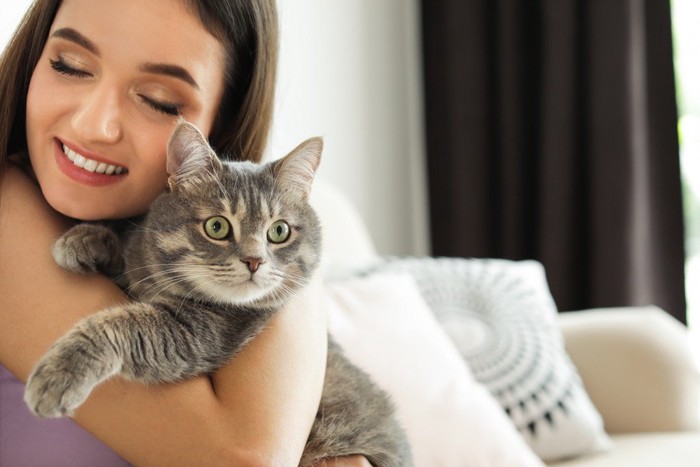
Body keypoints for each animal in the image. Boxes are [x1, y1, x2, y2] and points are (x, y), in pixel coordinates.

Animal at [24, 121, 412, 467]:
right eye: (217, 226)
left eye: (279, 231)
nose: (255, 260)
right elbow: (129, 254)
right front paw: (84, 240)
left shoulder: (195, 334)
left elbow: (122, 323)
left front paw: (62, 371)